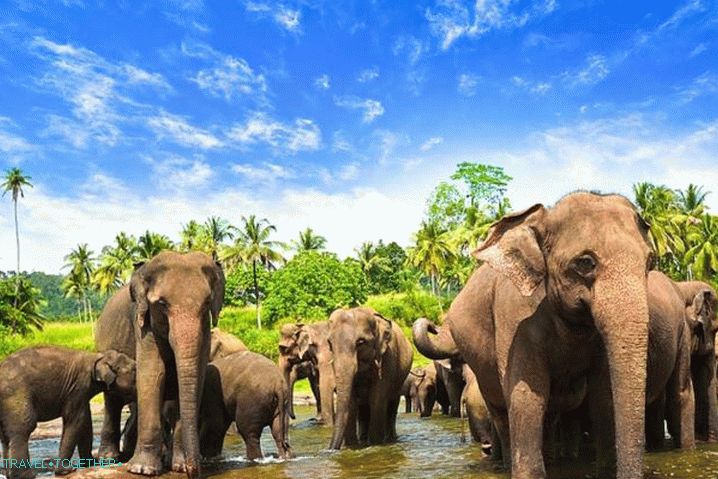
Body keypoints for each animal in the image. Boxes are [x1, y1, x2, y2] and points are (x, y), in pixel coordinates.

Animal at [0, 346, 135, 479]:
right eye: (134, 370)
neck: (97, 357)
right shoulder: (78, 387)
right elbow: (76, 420)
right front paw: (67, 471)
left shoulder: (81, 393)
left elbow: (85, 422)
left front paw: (91, 463)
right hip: (16, 396)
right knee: (24, 428)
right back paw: (27, 475)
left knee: (5, 436)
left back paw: (9, 475)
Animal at [95, 251, 225, 479]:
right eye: (162, 304)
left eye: (207, 303)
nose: (194, 471)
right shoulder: (144, 324)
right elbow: (153, 373)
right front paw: (142, 470)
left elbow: (196, 375)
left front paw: (178, 466)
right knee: (112, 401)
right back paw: (109, 458)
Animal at [327, 307, 413, 449]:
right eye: (330, 343)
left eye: (360, 342)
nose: (330, 449)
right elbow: (351, 403)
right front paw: (352, 446)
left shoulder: (387, 358)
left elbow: (377, 399)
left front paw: (375, 444)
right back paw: (363, 439)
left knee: (391, 405)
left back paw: (390, 439)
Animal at [413, 192, 654, 479]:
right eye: (585, 263)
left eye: (650, 262)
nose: (432, 325)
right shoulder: (515, 318)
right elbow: (527, 396)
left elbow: (603, 396)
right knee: (502, 414)